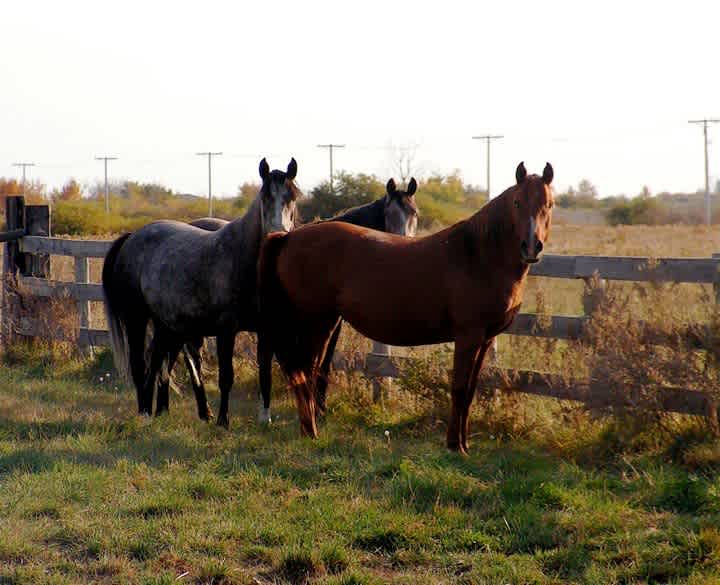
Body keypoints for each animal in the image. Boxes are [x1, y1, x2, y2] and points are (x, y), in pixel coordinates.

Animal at [262, 162, 556, 454]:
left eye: (549, 203)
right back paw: (310, 432)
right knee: (306, 373)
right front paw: (455, 446)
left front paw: (463, 444)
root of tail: (288, 238)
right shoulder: (468, 336)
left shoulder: (484, 339)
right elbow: (459, 388)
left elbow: (471, 391)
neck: (477, 255)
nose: (531, 247)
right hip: (315, 323)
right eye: (517, 202)